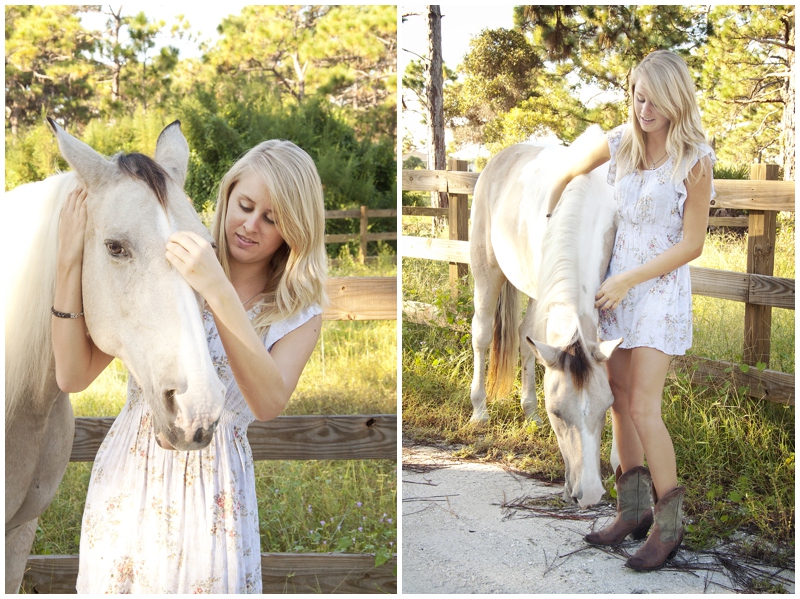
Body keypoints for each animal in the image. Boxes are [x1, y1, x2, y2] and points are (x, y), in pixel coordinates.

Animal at [472, 125, 620, 506]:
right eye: (558, 413)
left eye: (606, 408)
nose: (590, 493)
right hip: (487, 271)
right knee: (482, 334)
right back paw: (479, 411)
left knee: (525, 339)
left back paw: (529, 412)